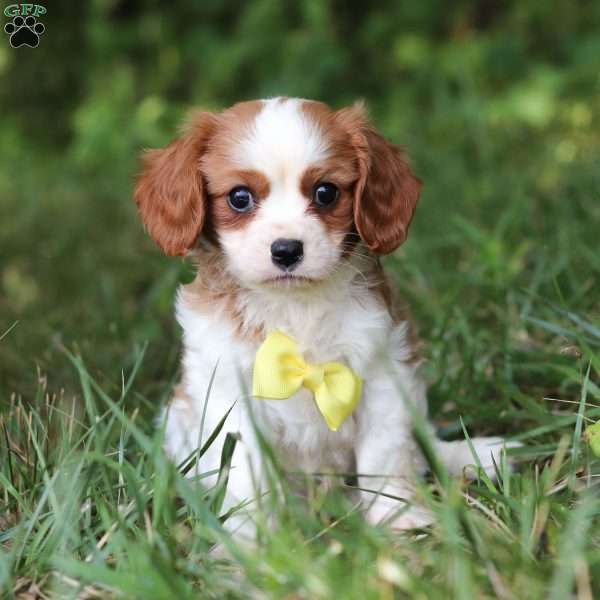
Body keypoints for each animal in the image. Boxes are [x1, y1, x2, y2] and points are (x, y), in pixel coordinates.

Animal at [134, 97, 512, 540]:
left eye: (326, 192)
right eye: (240, 197)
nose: (286, 250)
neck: (295, 305)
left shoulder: (384, 376)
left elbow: (385, 456)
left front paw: (396, 519)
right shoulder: (230, 394)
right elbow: (246, 475)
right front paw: (254, 541)